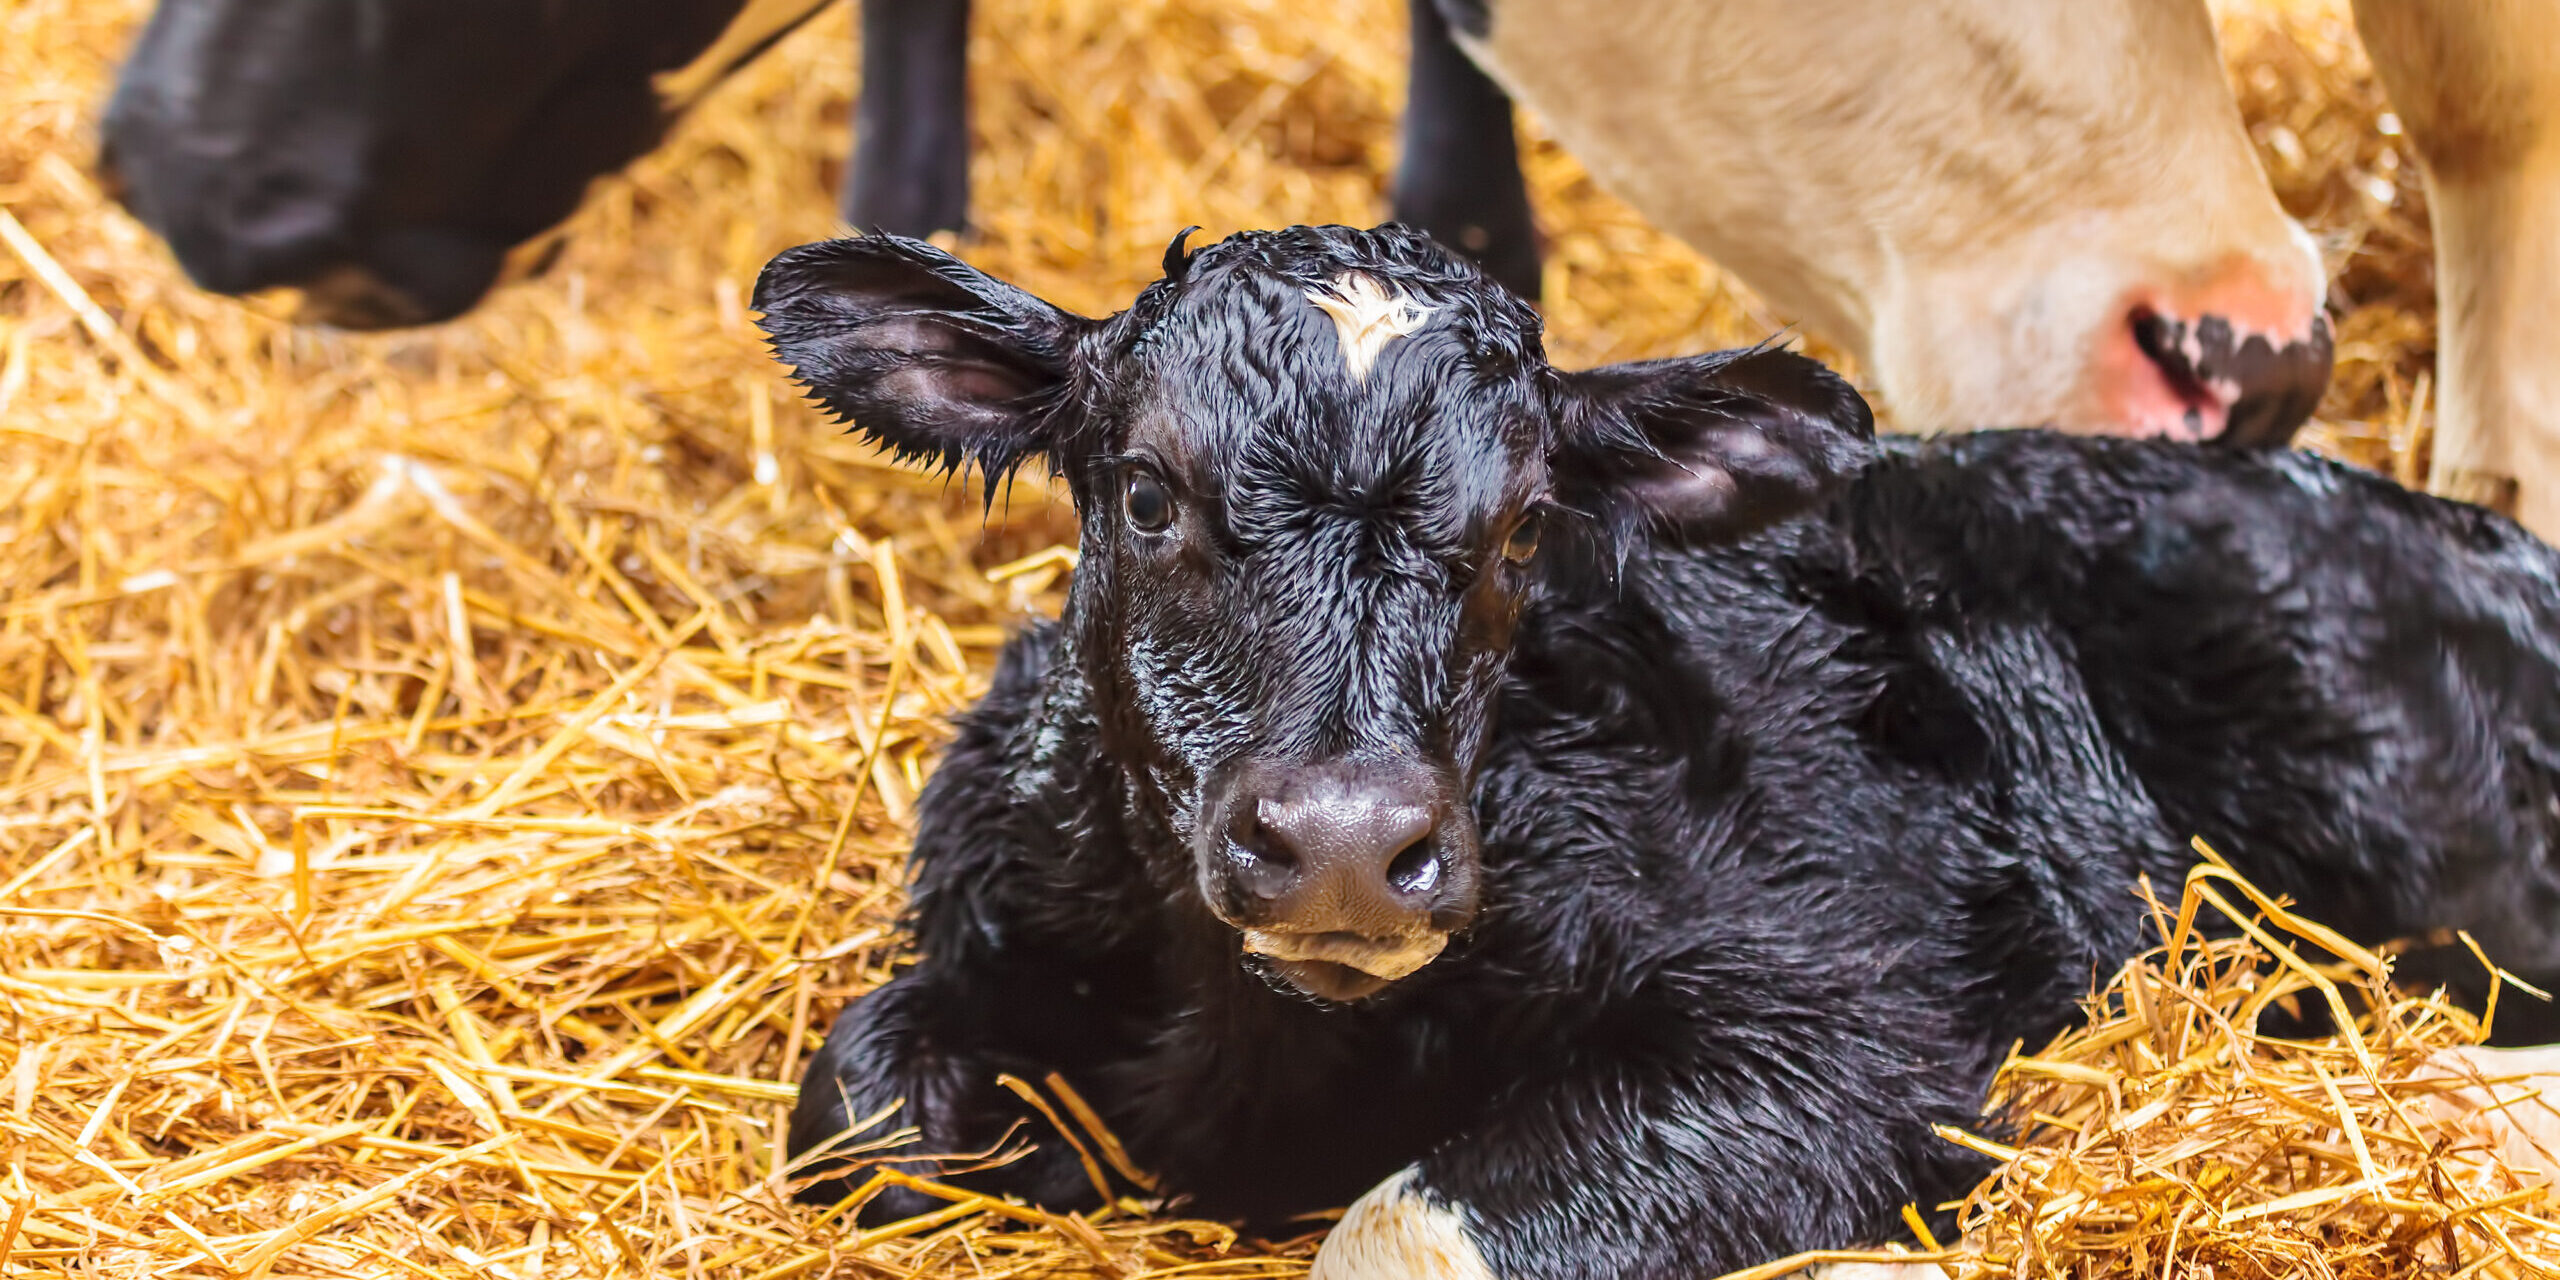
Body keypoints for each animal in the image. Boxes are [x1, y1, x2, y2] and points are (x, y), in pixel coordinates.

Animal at [755, 222, 2560, 1280]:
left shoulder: (1854, 1030)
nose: (1343, 843)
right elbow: (856, 1110)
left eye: (1523, 528)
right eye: (1145, 492)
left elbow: (1403, 1234)